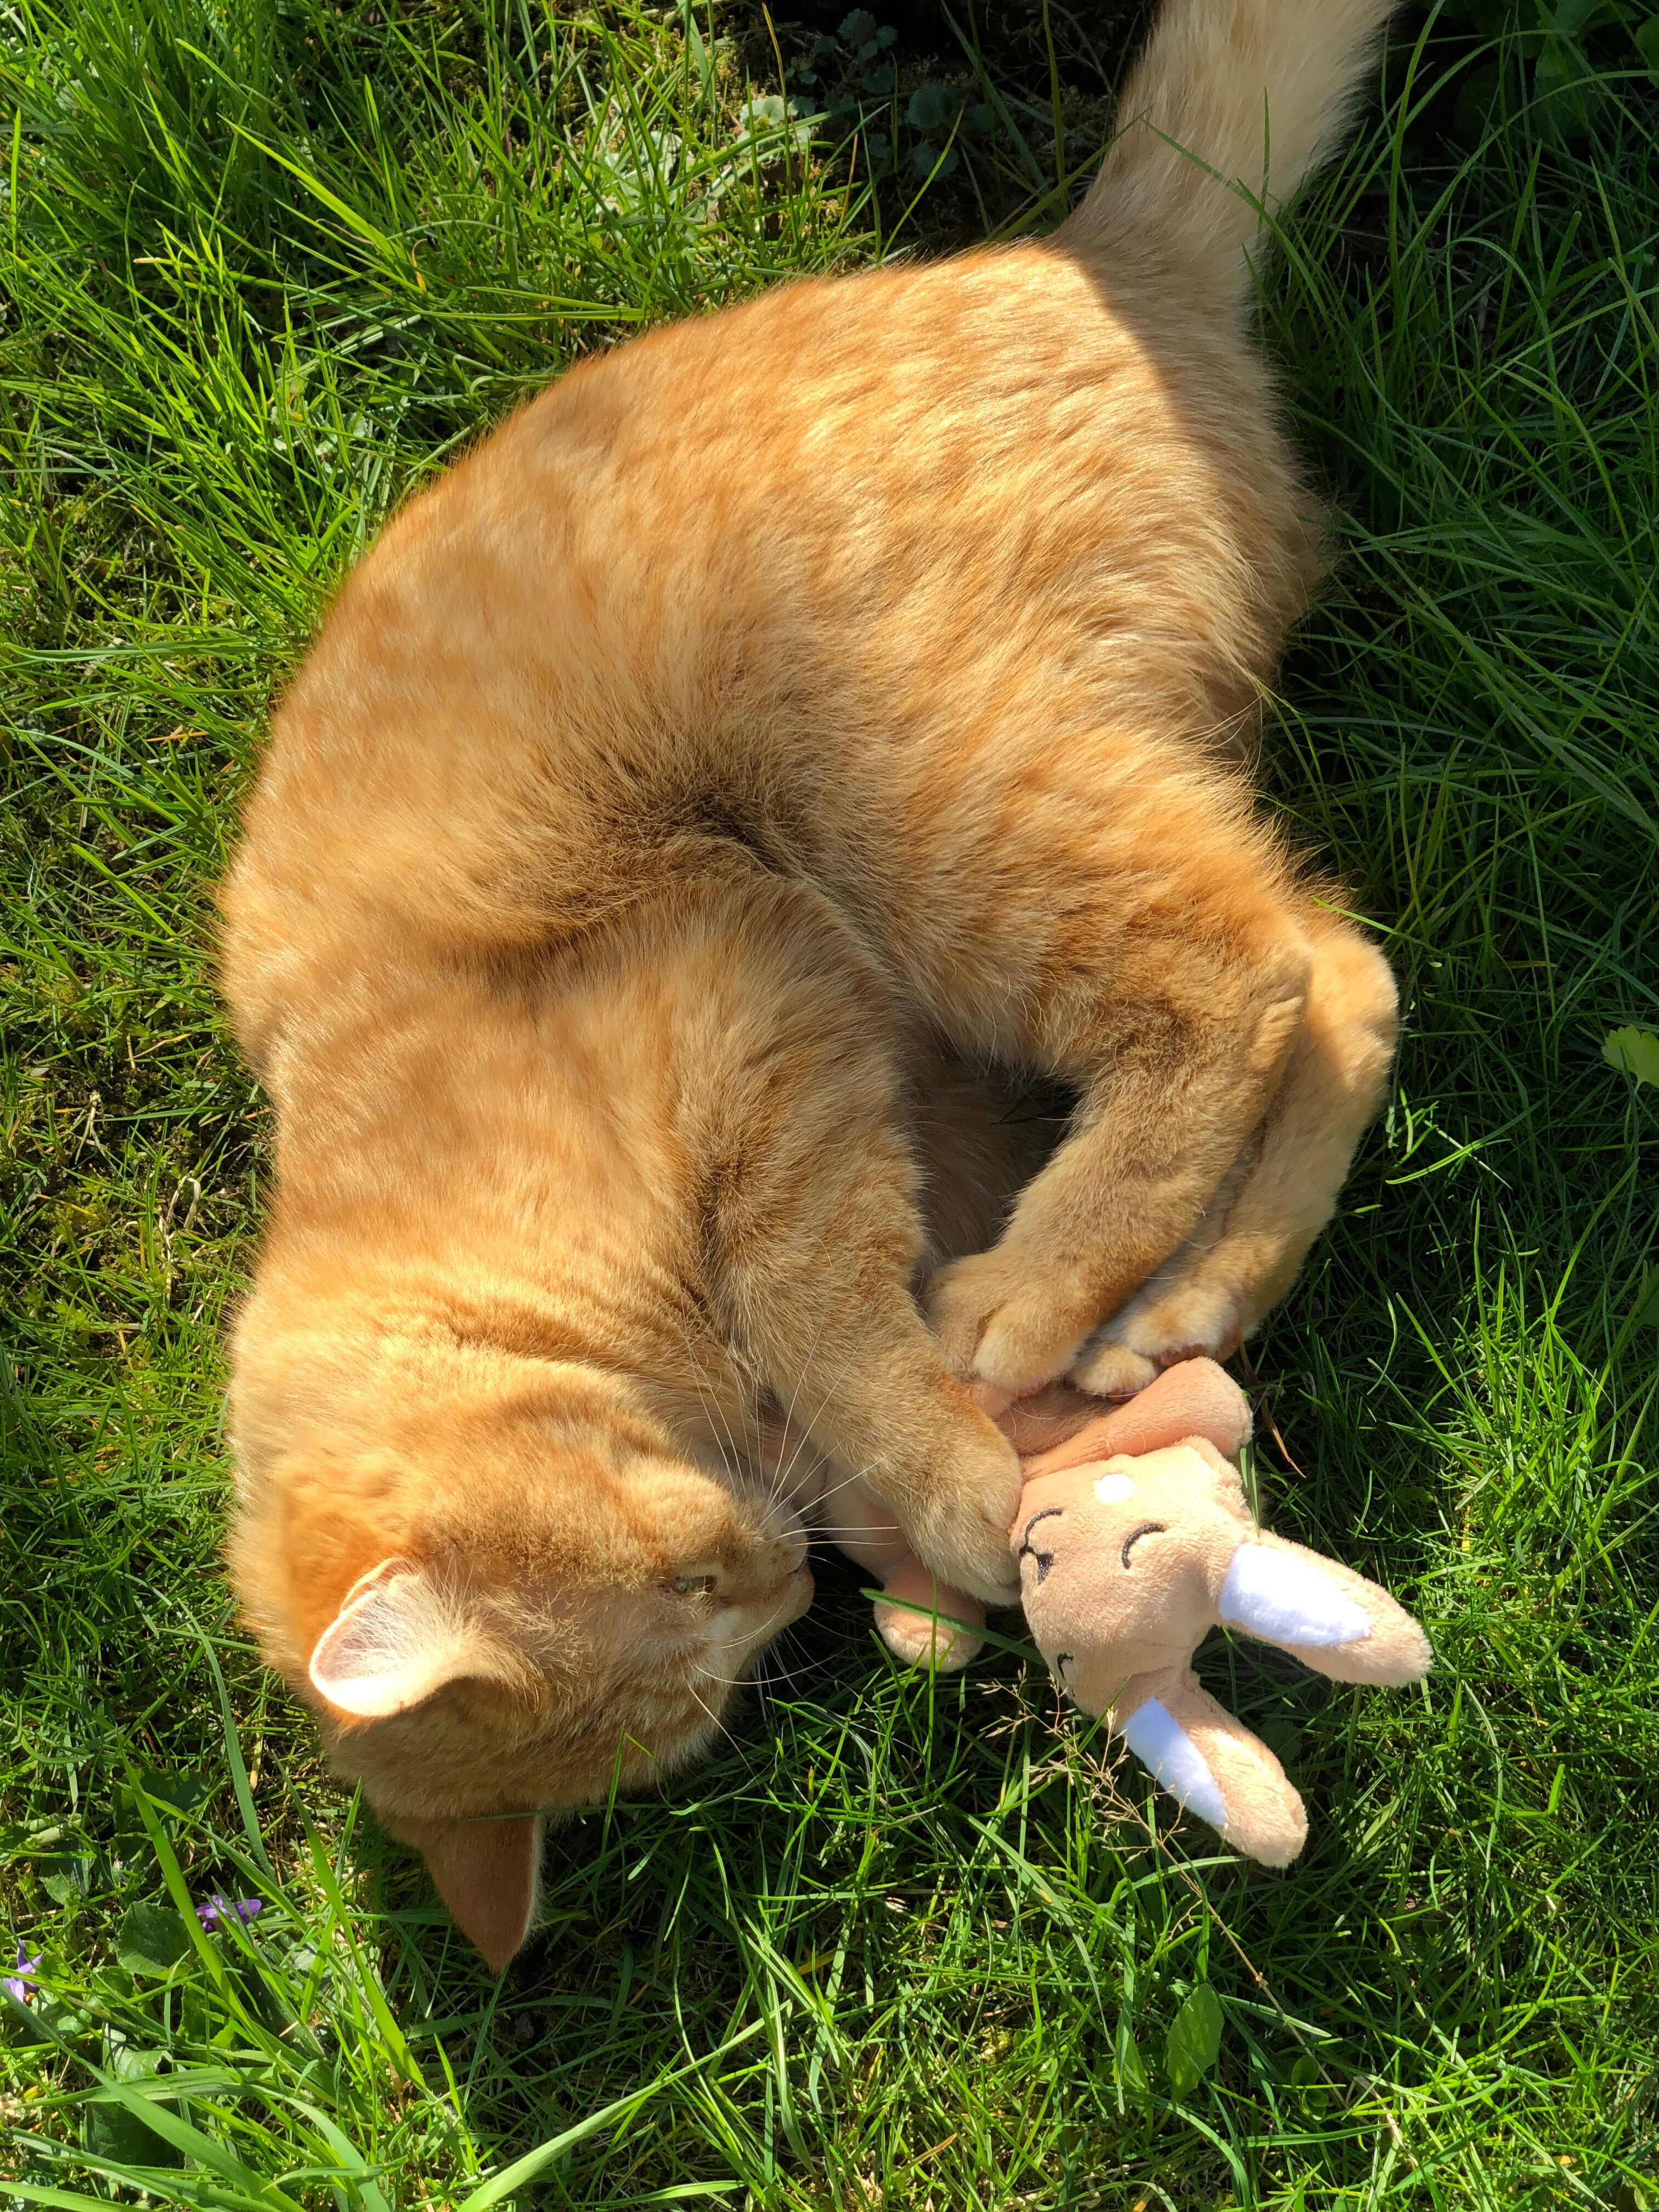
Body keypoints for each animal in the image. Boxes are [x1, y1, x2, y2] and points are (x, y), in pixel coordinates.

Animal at [221, 0, 1407, 1964]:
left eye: (689, 1577)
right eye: (707, 1667)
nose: (780, 1584)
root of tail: (1092, 253)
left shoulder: (763, 1005)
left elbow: (815, 1298)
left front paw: (950, 1482)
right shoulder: (890, 1086)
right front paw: (930, 1557)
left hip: (915, 811)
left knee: (1235, 975)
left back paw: (1040, 1300)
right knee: (1342, 971)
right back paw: (1173, 1310)